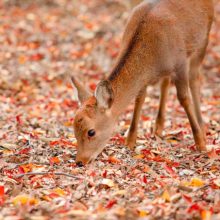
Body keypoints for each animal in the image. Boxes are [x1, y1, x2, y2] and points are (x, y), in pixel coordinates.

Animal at [71, 0, 214, 165]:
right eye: (74, 129)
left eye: (91, 132)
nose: (80, 161)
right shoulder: (144, 79)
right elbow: (139, 100)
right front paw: (130, 142)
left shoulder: (181, 63)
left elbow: (183, 98)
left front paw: (201, 144)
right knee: (165, 82)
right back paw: (158, 127)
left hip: (204, 39)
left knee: (195, 78)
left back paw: (202, 129)